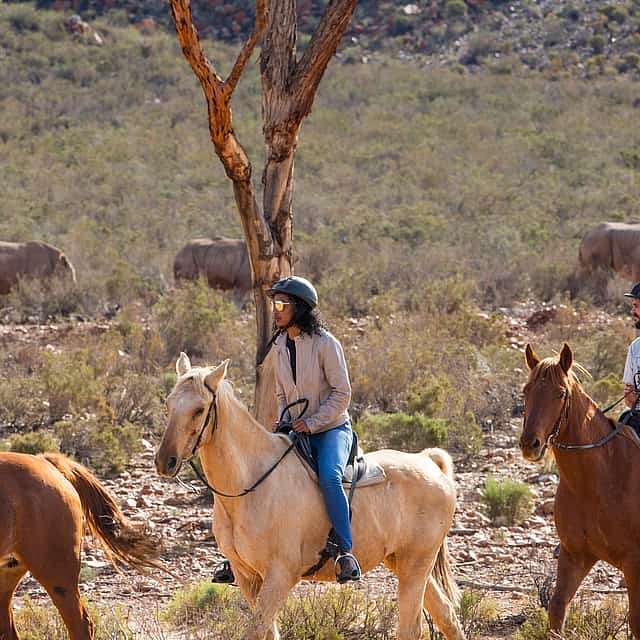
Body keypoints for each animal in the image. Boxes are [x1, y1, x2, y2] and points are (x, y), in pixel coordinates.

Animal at [155, 354, 466, 640]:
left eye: (199, 409)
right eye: (168, 405)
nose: (165, 461)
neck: (251, 486)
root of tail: (428, 461)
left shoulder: (280, 576)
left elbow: (255, 631)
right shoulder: (247, 576)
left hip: (416, 563)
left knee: (412, 627)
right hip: (401, 561)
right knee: (447, 616)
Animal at [520, 342, 640, 637]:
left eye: (560, 393)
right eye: (526, 391)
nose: (530, 444)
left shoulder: (634, 562)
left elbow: (636, 621)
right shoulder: (575, 555)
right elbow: (557, 609)